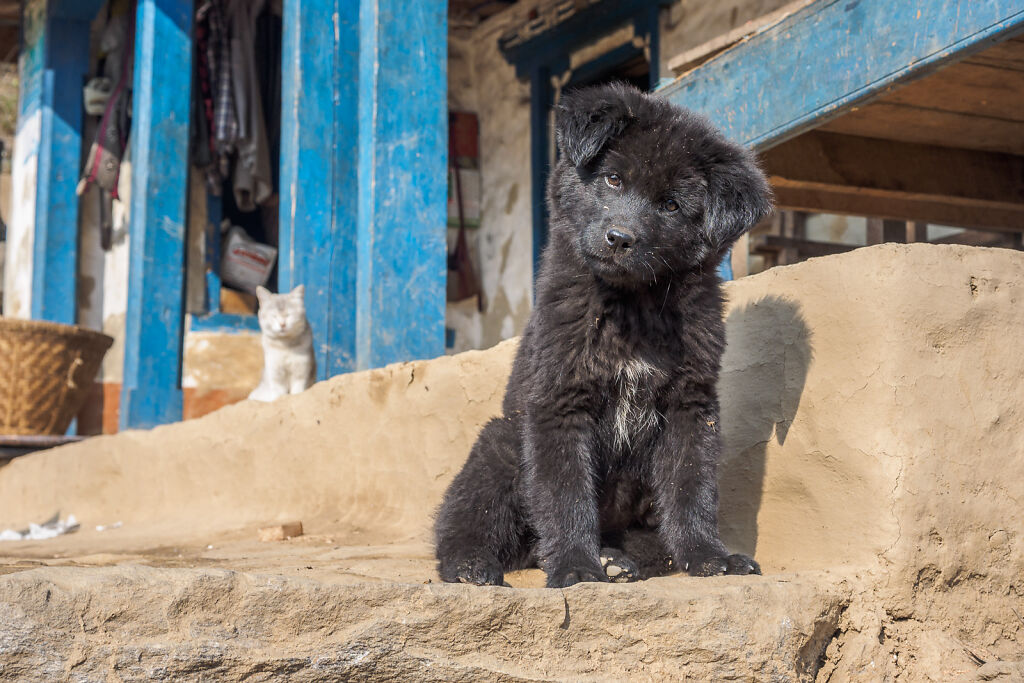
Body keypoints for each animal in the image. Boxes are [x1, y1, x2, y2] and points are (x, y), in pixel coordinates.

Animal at [436, 83, 770, 589]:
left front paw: (707, 555)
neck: (631, 308)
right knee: (466, 519)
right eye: (613, 180)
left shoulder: (690, 406)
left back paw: (617, 559)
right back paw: (471, 563)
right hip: (501, 442)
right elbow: (565, 494)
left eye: (671, 205)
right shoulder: (558, 402)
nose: (620, 238)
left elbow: (691, 487)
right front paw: (576, 567)